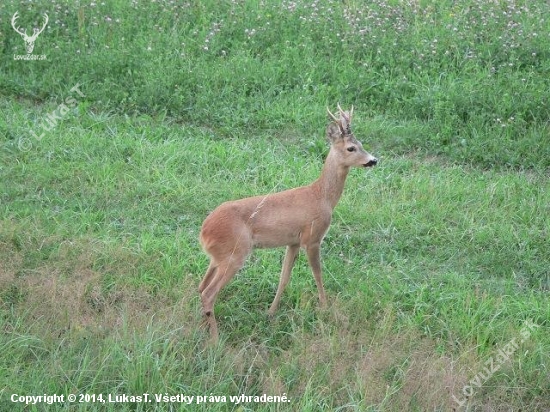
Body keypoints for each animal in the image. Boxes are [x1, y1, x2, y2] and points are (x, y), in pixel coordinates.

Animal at [199, 105, 380, 342]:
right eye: (351, 148)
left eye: (361, 144)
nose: (373, 160)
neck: (322, 196)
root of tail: (203, 232)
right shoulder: (312, 237)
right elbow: (318, 274)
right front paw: (325, 308)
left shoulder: (292, 242)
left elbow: (284, 277)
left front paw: (270, 312)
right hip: (235, 253)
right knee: (208, 293)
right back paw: (215, 339)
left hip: (218, 257)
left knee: (201, 287)